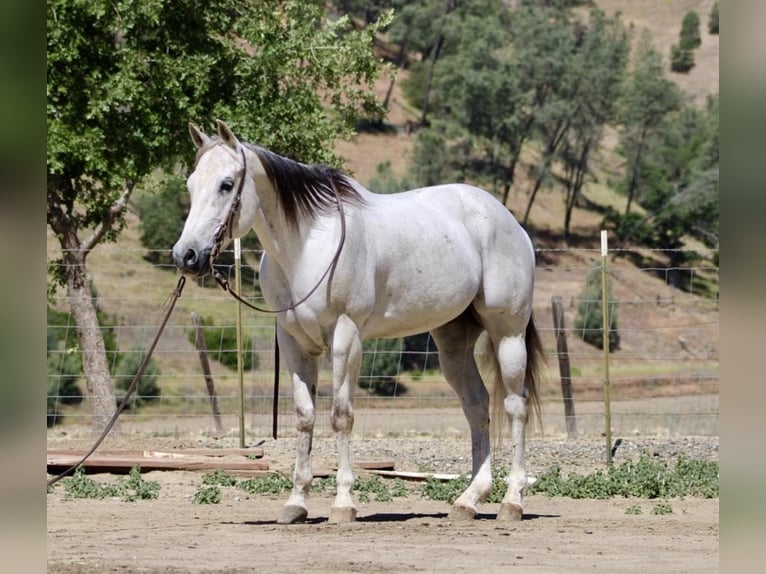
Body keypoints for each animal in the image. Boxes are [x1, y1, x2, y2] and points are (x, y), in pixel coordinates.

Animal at [172, 120, 543, 524]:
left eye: (226, 184)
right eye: (191, 185)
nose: (185, 255)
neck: (307, 246)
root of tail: (510, 222)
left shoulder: (345, 336)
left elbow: (341, 415)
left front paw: (343, 503)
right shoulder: (293, 342)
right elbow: (305, 417)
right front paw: (296, 503)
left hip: (507, 333)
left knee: (515, 406)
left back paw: (512, 501)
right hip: (453, 342)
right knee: (477, 405)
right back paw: (468, 501)